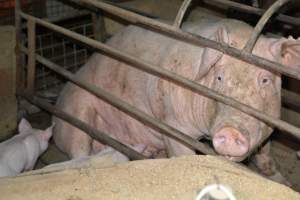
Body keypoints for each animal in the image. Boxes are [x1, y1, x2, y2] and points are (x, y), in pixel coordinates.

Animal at [52, 14, 300, 186]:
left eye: (265, 80)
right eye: (219, 77)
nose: (231, 131)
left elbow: (266, 153)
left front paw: (285, 183)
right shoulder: (171, 123)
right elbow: (183, 156)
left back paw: (148, 153)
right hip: (76, 109)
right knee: (79, 150)